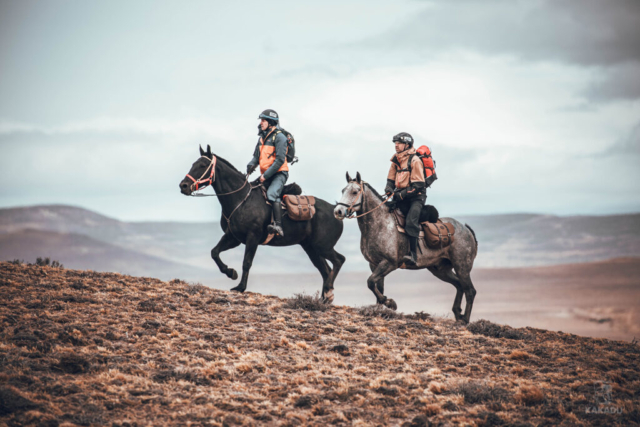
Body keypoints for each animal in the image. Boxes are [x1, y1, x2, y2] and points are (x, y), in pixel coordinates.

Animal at [178, 145, 348, 302]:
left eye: (202, 165)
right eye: (193, 164)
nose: (183, 186)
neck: (241, 199)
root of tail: (335, 210)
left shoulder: (252, 237)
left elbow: (246, 262)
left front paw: (240, 287)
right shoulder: (233, 237)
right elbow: (214, 252)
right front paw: (231, 272)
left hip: (322, 246)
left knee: (339, 261)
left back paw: (328, 292)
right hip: (311, 248)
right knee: (325, 270)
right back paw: (325, 298)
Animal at [336, 172, 476, 322]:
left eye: (355, 191)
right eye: (342, 190)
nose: (338, 211)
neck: (380, 224)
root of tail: (467, 230)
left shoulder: (389, 263)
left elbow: (370, 282)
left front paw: (390, 303)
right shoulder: (374, 264)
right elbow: (376, 286)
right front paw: (381, 308)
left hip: (462, 267)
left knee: (470, 291)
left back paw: (465, 320)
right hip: (441, 269)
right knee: (459, 285)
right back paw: (458, 314)